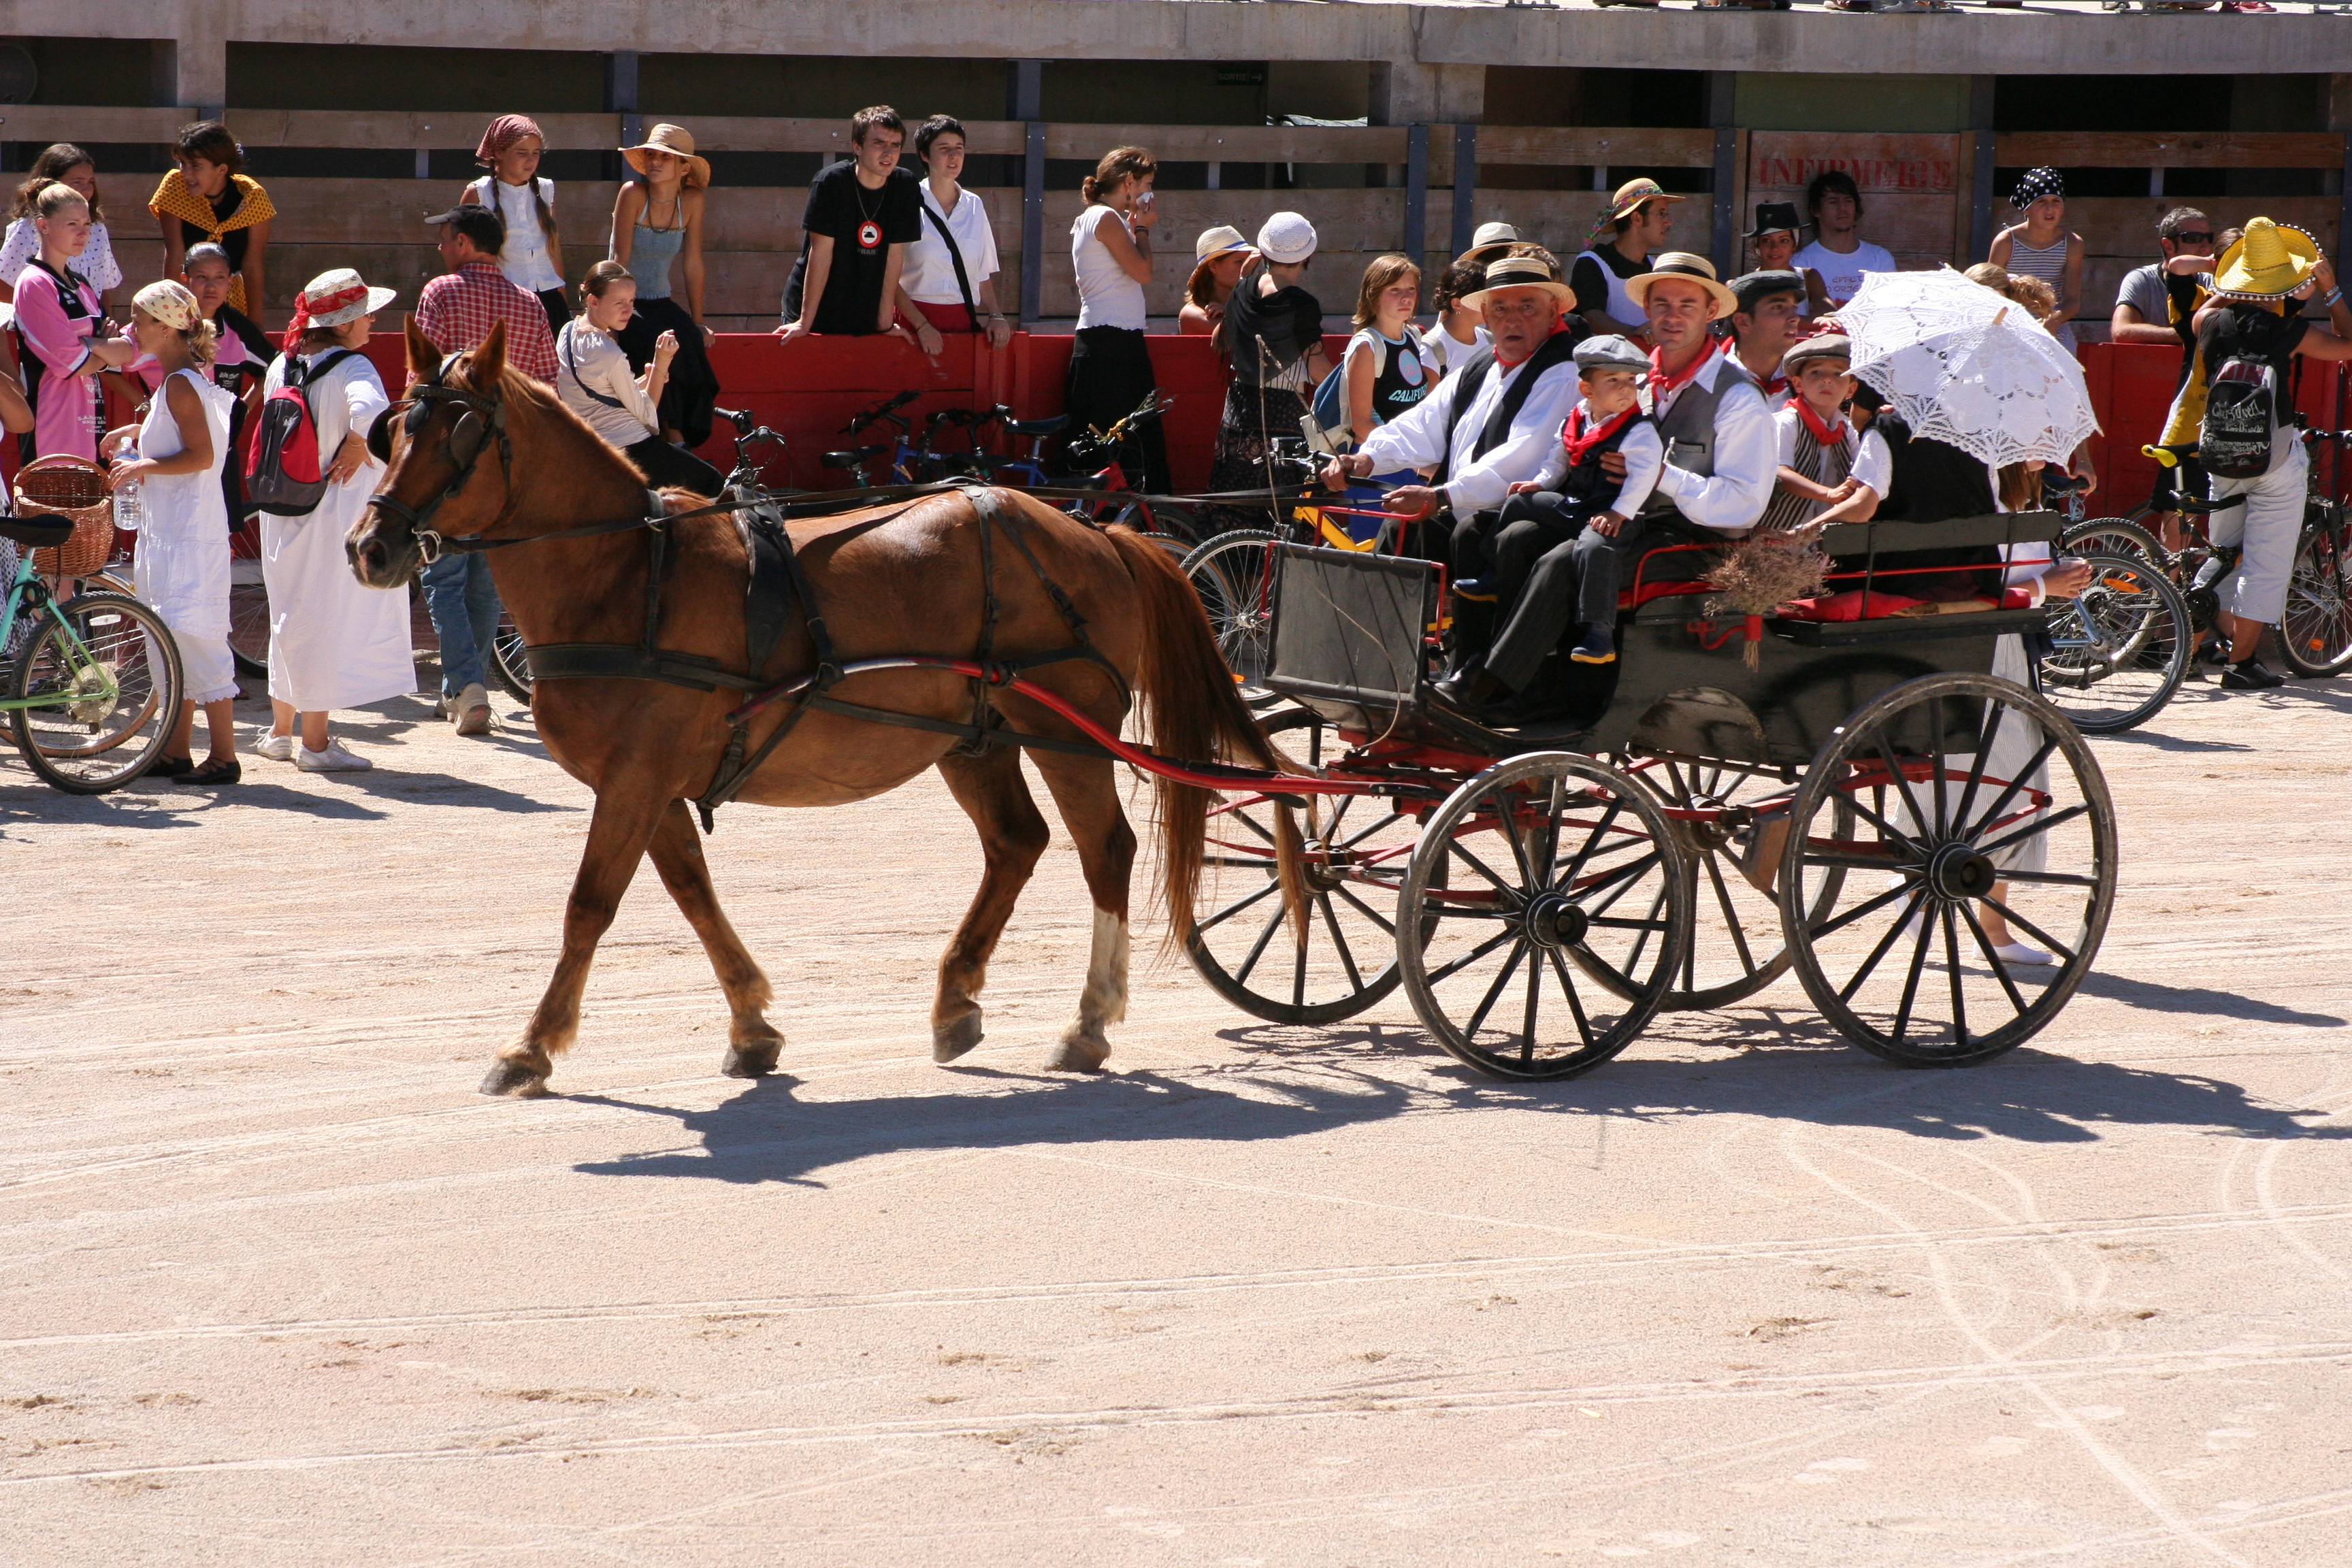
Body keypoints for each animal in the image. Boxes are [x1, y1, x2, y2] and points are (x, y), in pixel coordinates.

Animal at [353, 324, 1288, 1100]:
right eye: (396, 430)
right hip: (975, 740)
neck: (626, 577)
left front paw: (531, 1048)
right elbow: (692, 893)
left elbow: (591, 905)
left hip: (1063, 732)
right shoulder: (650, 784)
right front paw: (752, 1026)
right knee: (1015, 844)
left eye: (461, 434)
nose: (372, 547)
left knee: (1105, 851)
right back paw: (956, 1001)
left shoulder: (634, 779)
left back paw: (1089, 1021)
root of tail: (1098, 536)